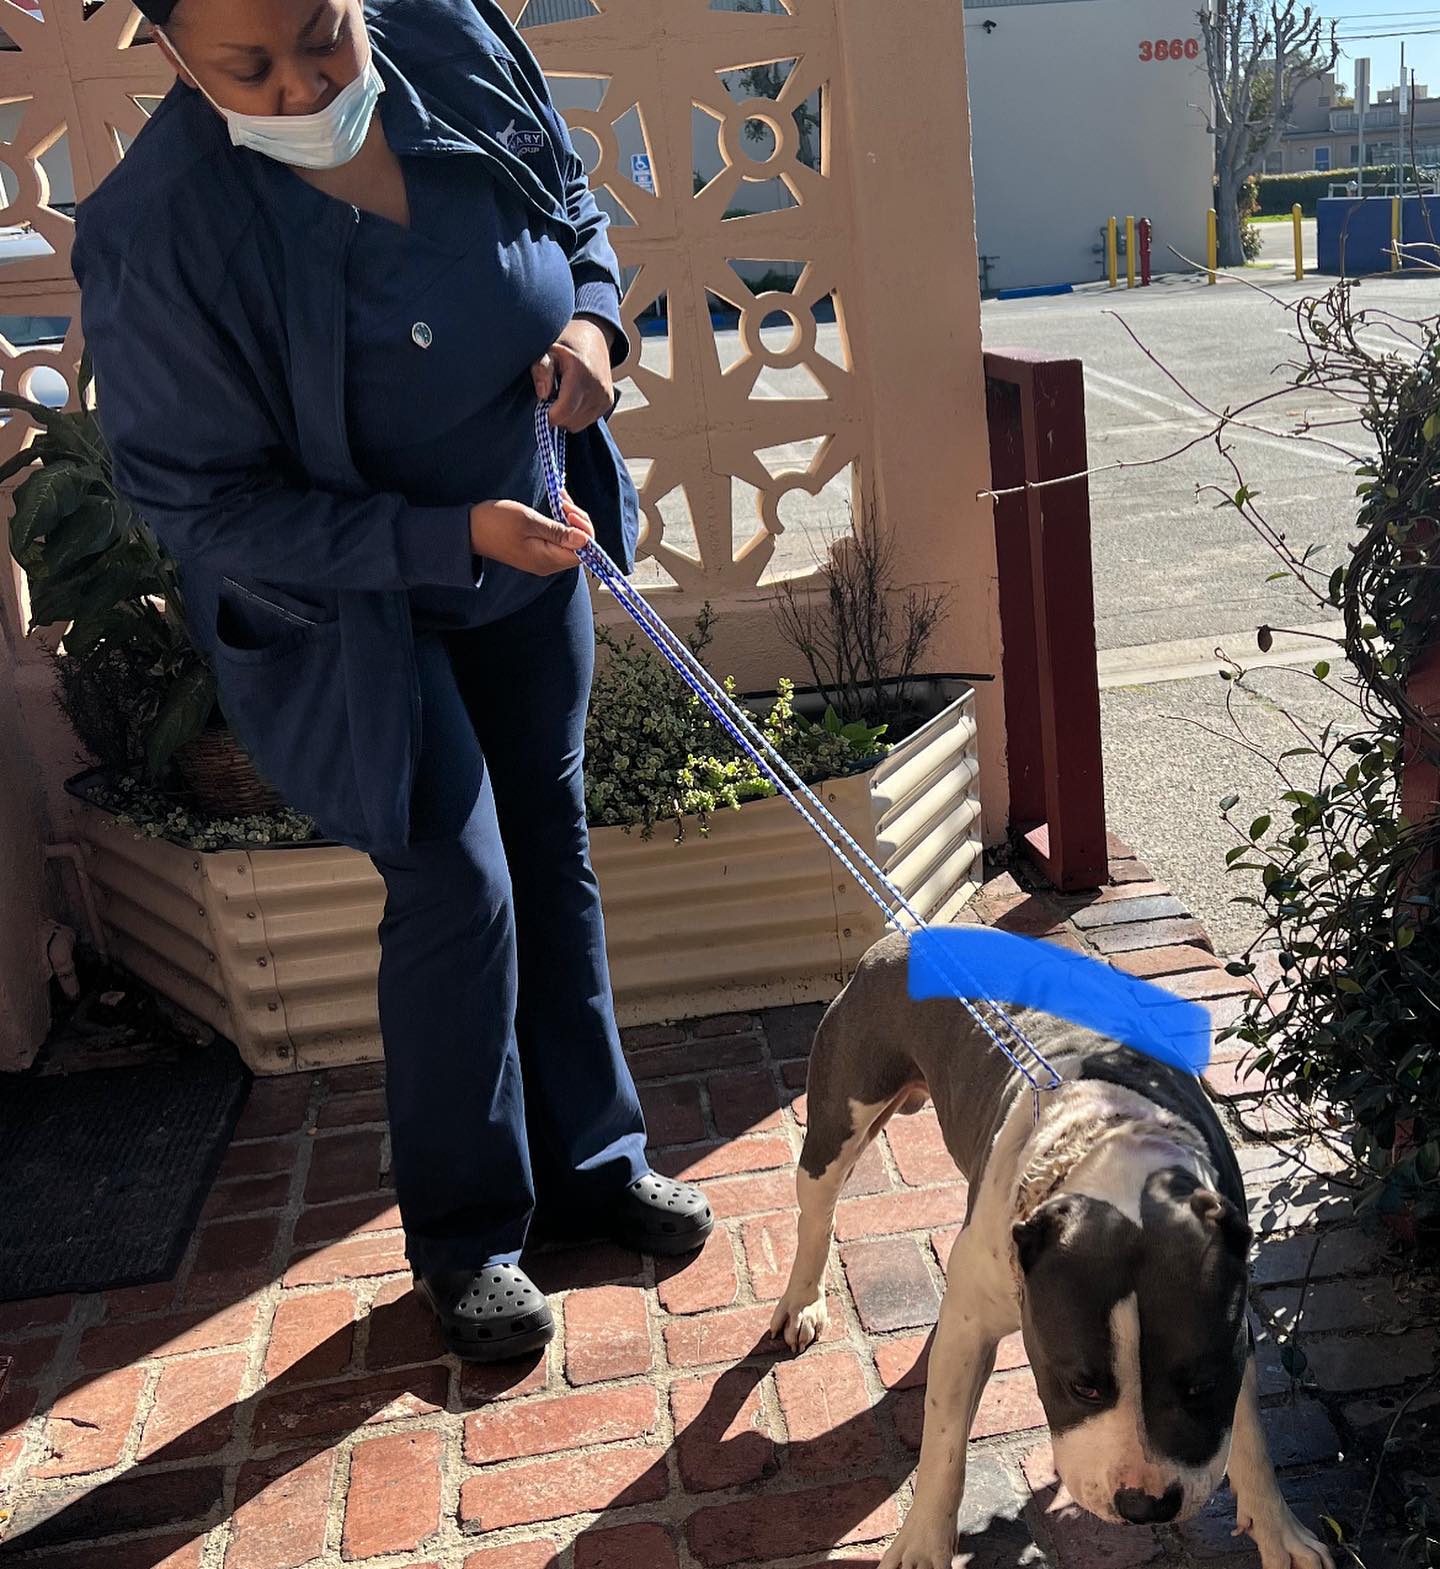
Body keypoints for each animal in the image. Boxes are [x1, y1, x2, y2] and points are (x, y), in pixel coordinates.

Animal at [771, 928, 1336, 1569]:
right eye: (1081, 1386)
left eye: (1202, 1384)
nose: (1146, 1505)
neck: (1110, 1144)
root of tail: (911, 933)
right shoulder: (970, 1327)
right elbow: (943, 1445)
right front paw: (921, 1546)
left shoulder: (1233, 1322)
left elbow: (1251, 1439)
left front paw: (1280, 1532)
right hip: (838, 1120)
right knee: (817, 1213)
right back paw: (801, 1301)